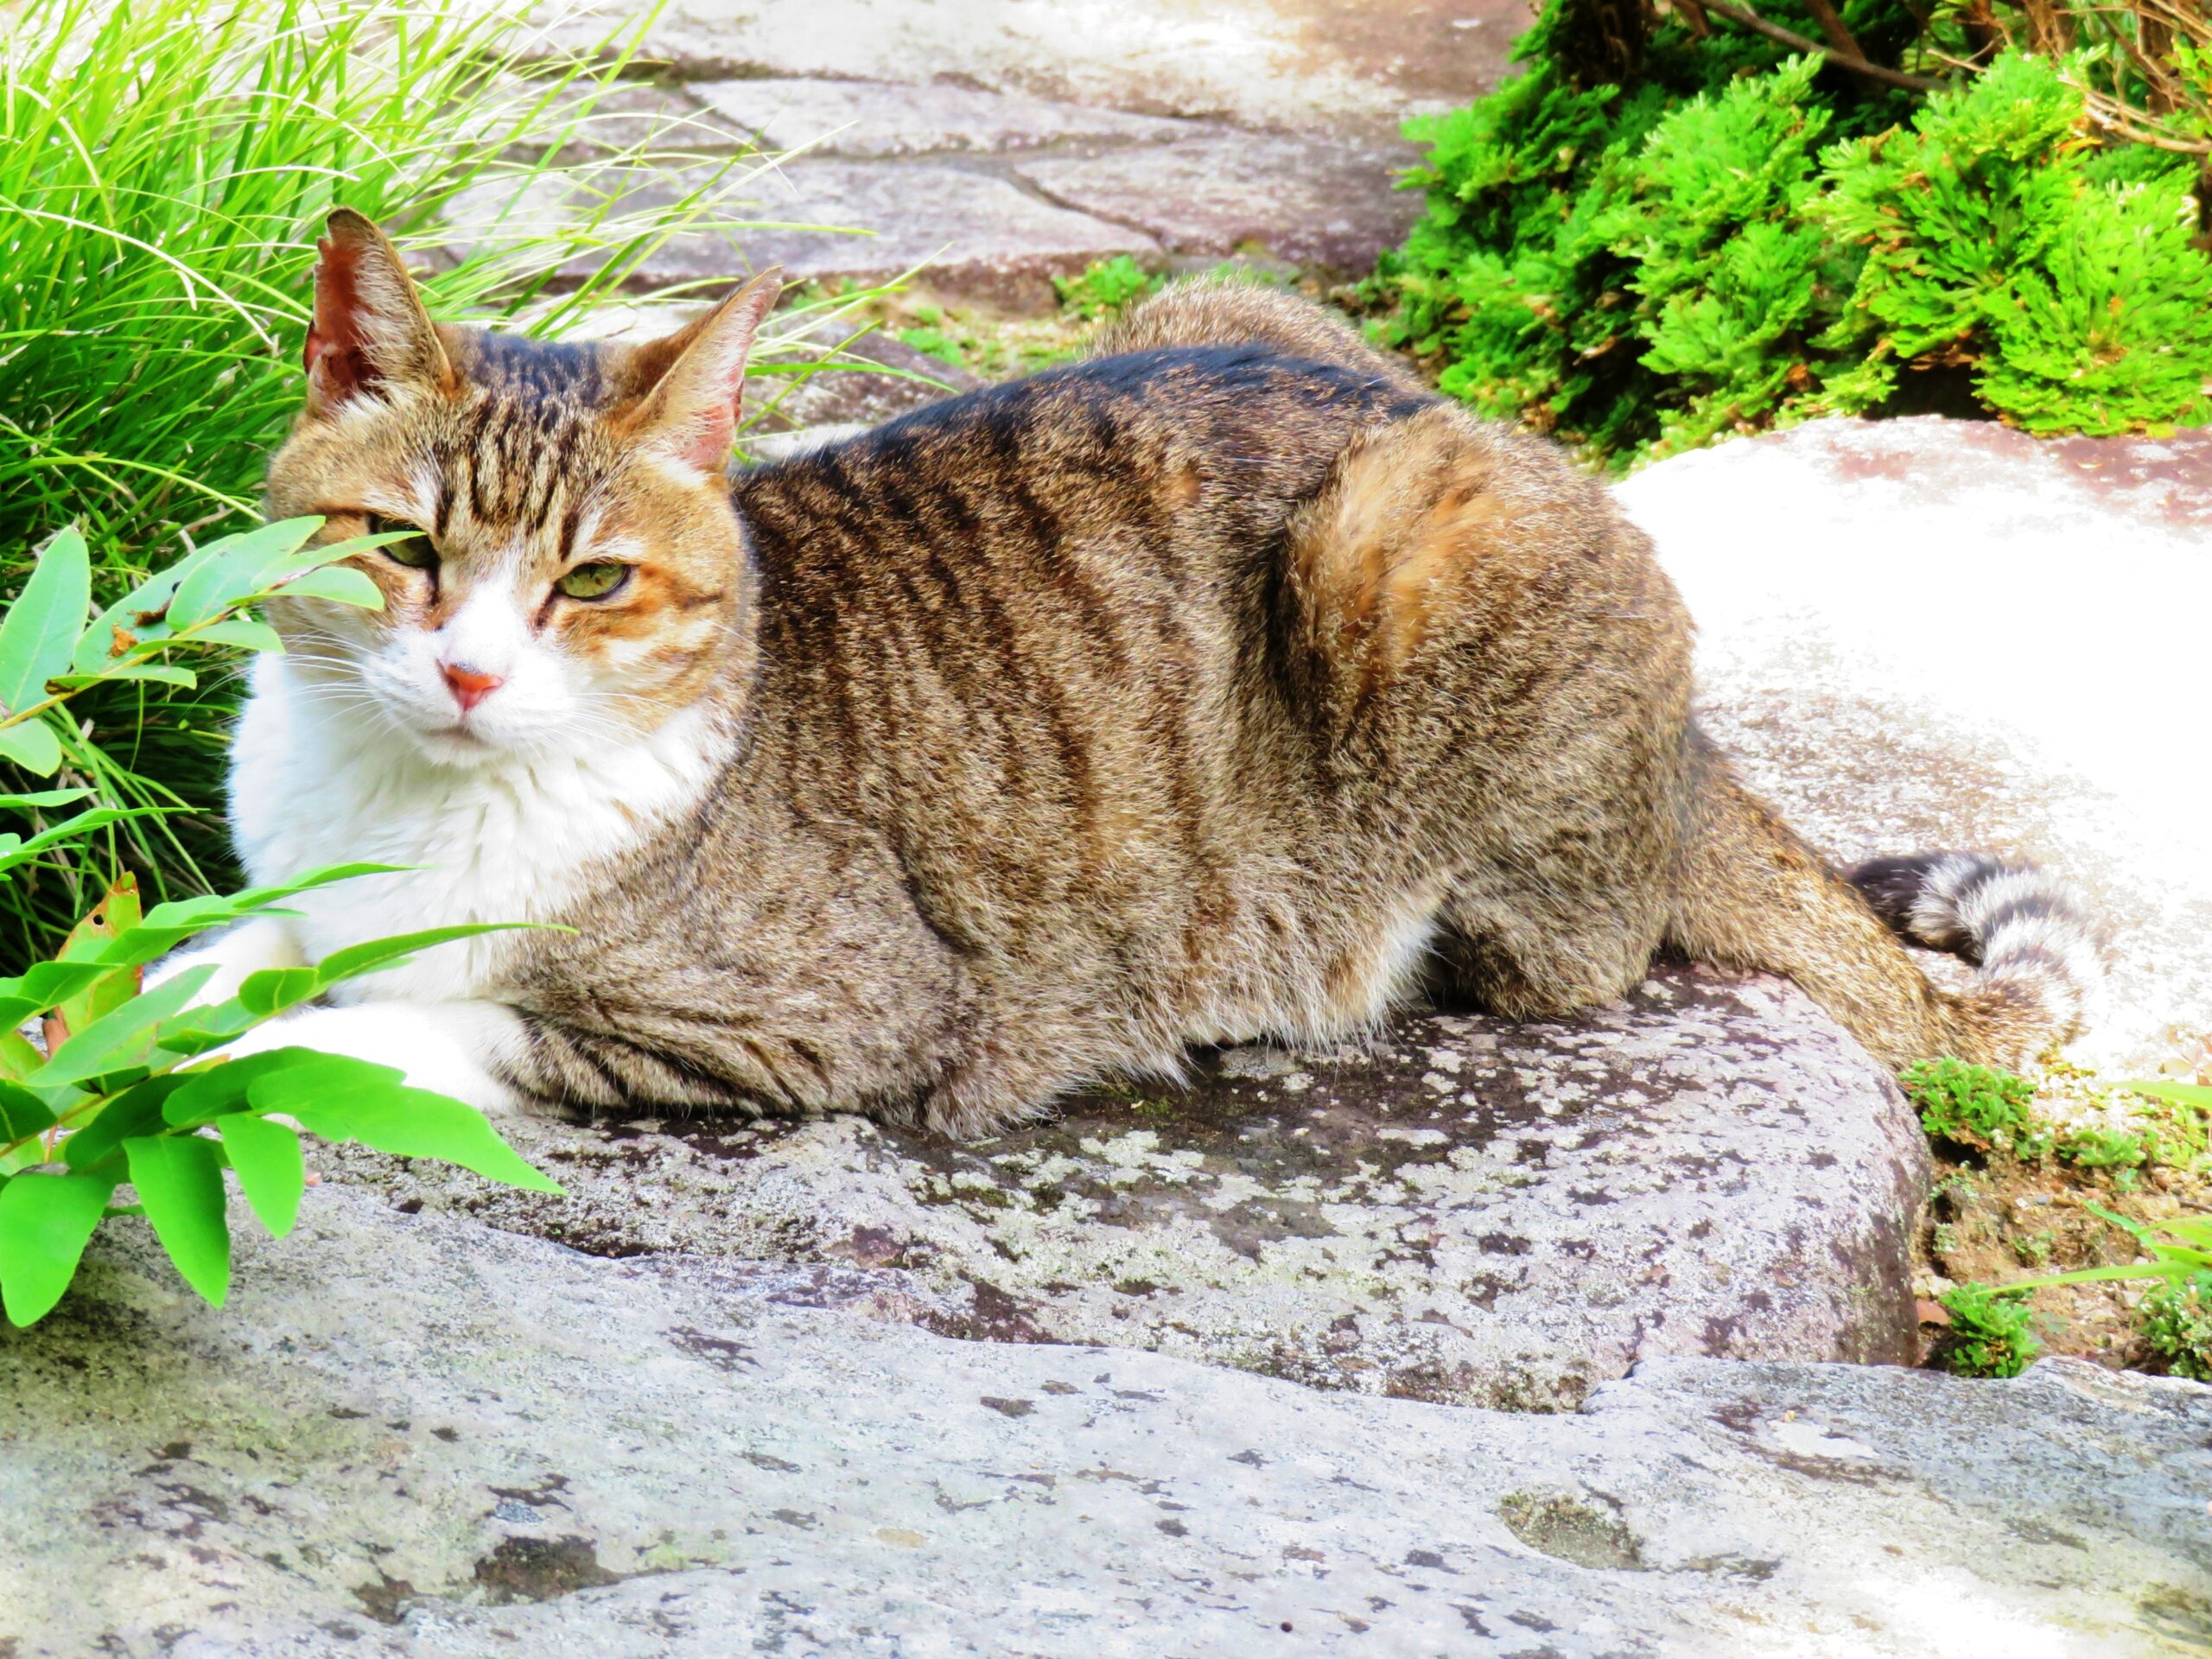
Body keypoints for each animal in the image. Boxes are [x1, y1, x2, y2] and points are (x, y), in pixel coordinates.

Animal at [163, 207, 2096, 1141]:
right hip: (1212, 303)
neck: (411, 806)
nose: (470, 677)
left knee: (1570, 946)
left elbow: (428, 1019)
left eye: (593, 582)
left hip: (1409, 542)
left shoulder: (840, 1015)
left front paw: (265, 1040)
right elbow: (232, 949)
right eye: (405, 549)